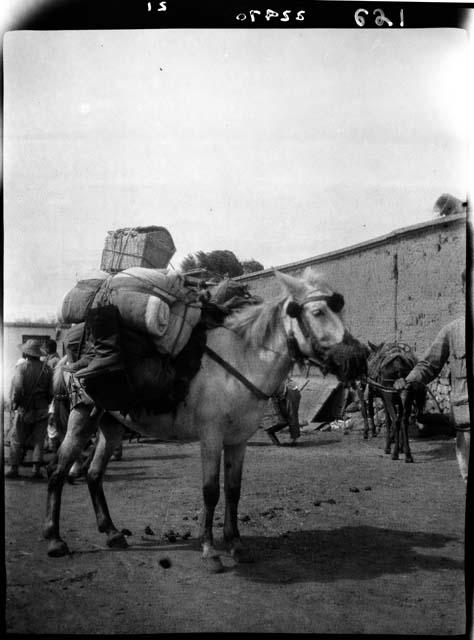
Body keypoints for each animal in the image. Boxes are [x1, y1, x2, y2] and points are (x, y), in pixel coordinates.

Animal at [43, 268, 366, 572]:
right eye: (318, 311)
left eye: (338, 310)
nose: (358, 359)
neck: (240, 363)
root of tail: (68, 358)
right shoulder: (211, 437)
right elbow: (210, 491)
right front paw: (210, 551)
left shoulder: (238, 441)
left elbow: (233, 491)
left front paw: (235, 544)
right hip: (81, 419)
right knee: (58, 470)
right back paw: (54, 539)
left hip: (111, 425)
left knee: (94, 473)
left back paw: (111, 532)